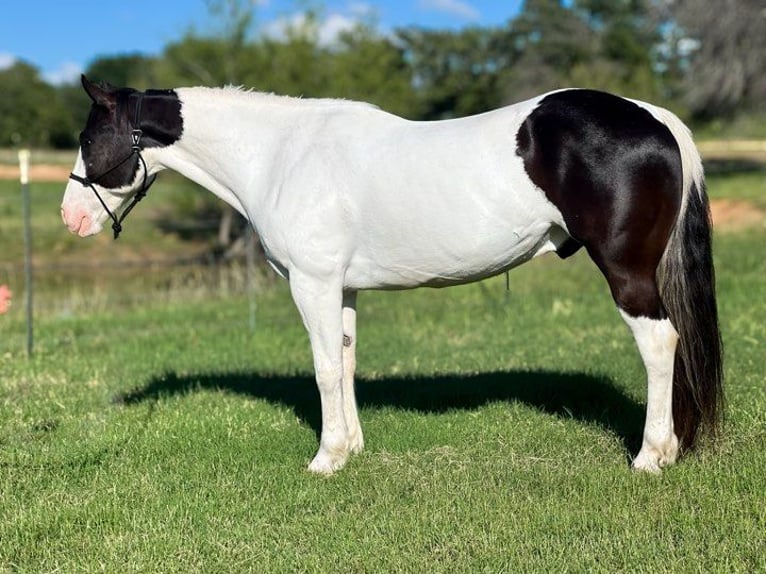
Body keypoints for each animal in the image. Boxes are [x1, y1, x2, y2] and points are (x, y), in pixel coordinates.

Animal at [63, 74, 724, 474]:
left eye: (90, 138)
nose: (71, 218)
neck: (280, 156)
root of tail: (653, 115)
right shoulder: (344, 288)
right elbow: (347, 360)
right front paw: (351, 448)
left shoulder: (312, 283)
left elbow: (325, 368)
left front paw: (326, 459)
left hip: (627, 272)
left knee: (660, 342)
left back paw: (651, 455)